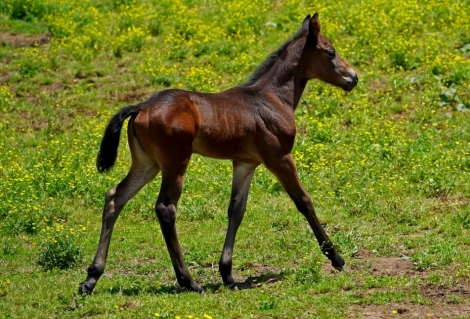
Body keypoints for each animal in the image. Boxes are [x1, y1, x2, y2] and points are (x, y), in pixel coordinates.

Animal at [80, 14, 356, 296]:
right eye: (330, 52)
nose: (353, 77)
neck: (272, 98)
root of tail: (141, 106)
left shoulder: (245, 163)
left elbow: (236, 209)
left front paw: (228, 274)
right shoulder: (279, 158)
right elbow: (303, 200)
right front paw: (336, 257)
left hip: (147, 164)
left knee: (115, 197)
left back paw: (91, 278)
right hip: (175, 162)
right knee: (165, 209)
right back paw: (189, 281)